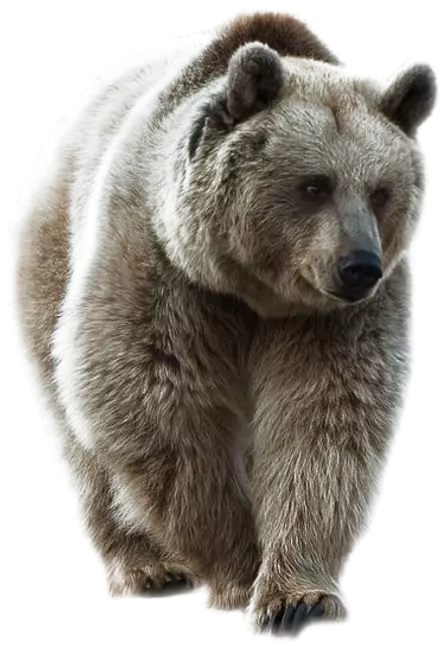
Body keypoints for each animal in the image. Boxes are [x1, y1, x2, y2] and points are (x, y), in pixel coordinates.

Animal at [9, 7, 436, 638]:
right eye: (314, 184)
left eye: (381, 191)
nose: (359, 265)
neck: (254, 292)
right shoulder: (166, 271)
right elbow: (157, 403)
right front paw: (236, 570)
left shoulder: (332, 320)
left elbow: (324, 419)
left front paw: (296, 596)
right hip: (53, 258)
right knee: (81, 441)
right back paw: (147, 565)